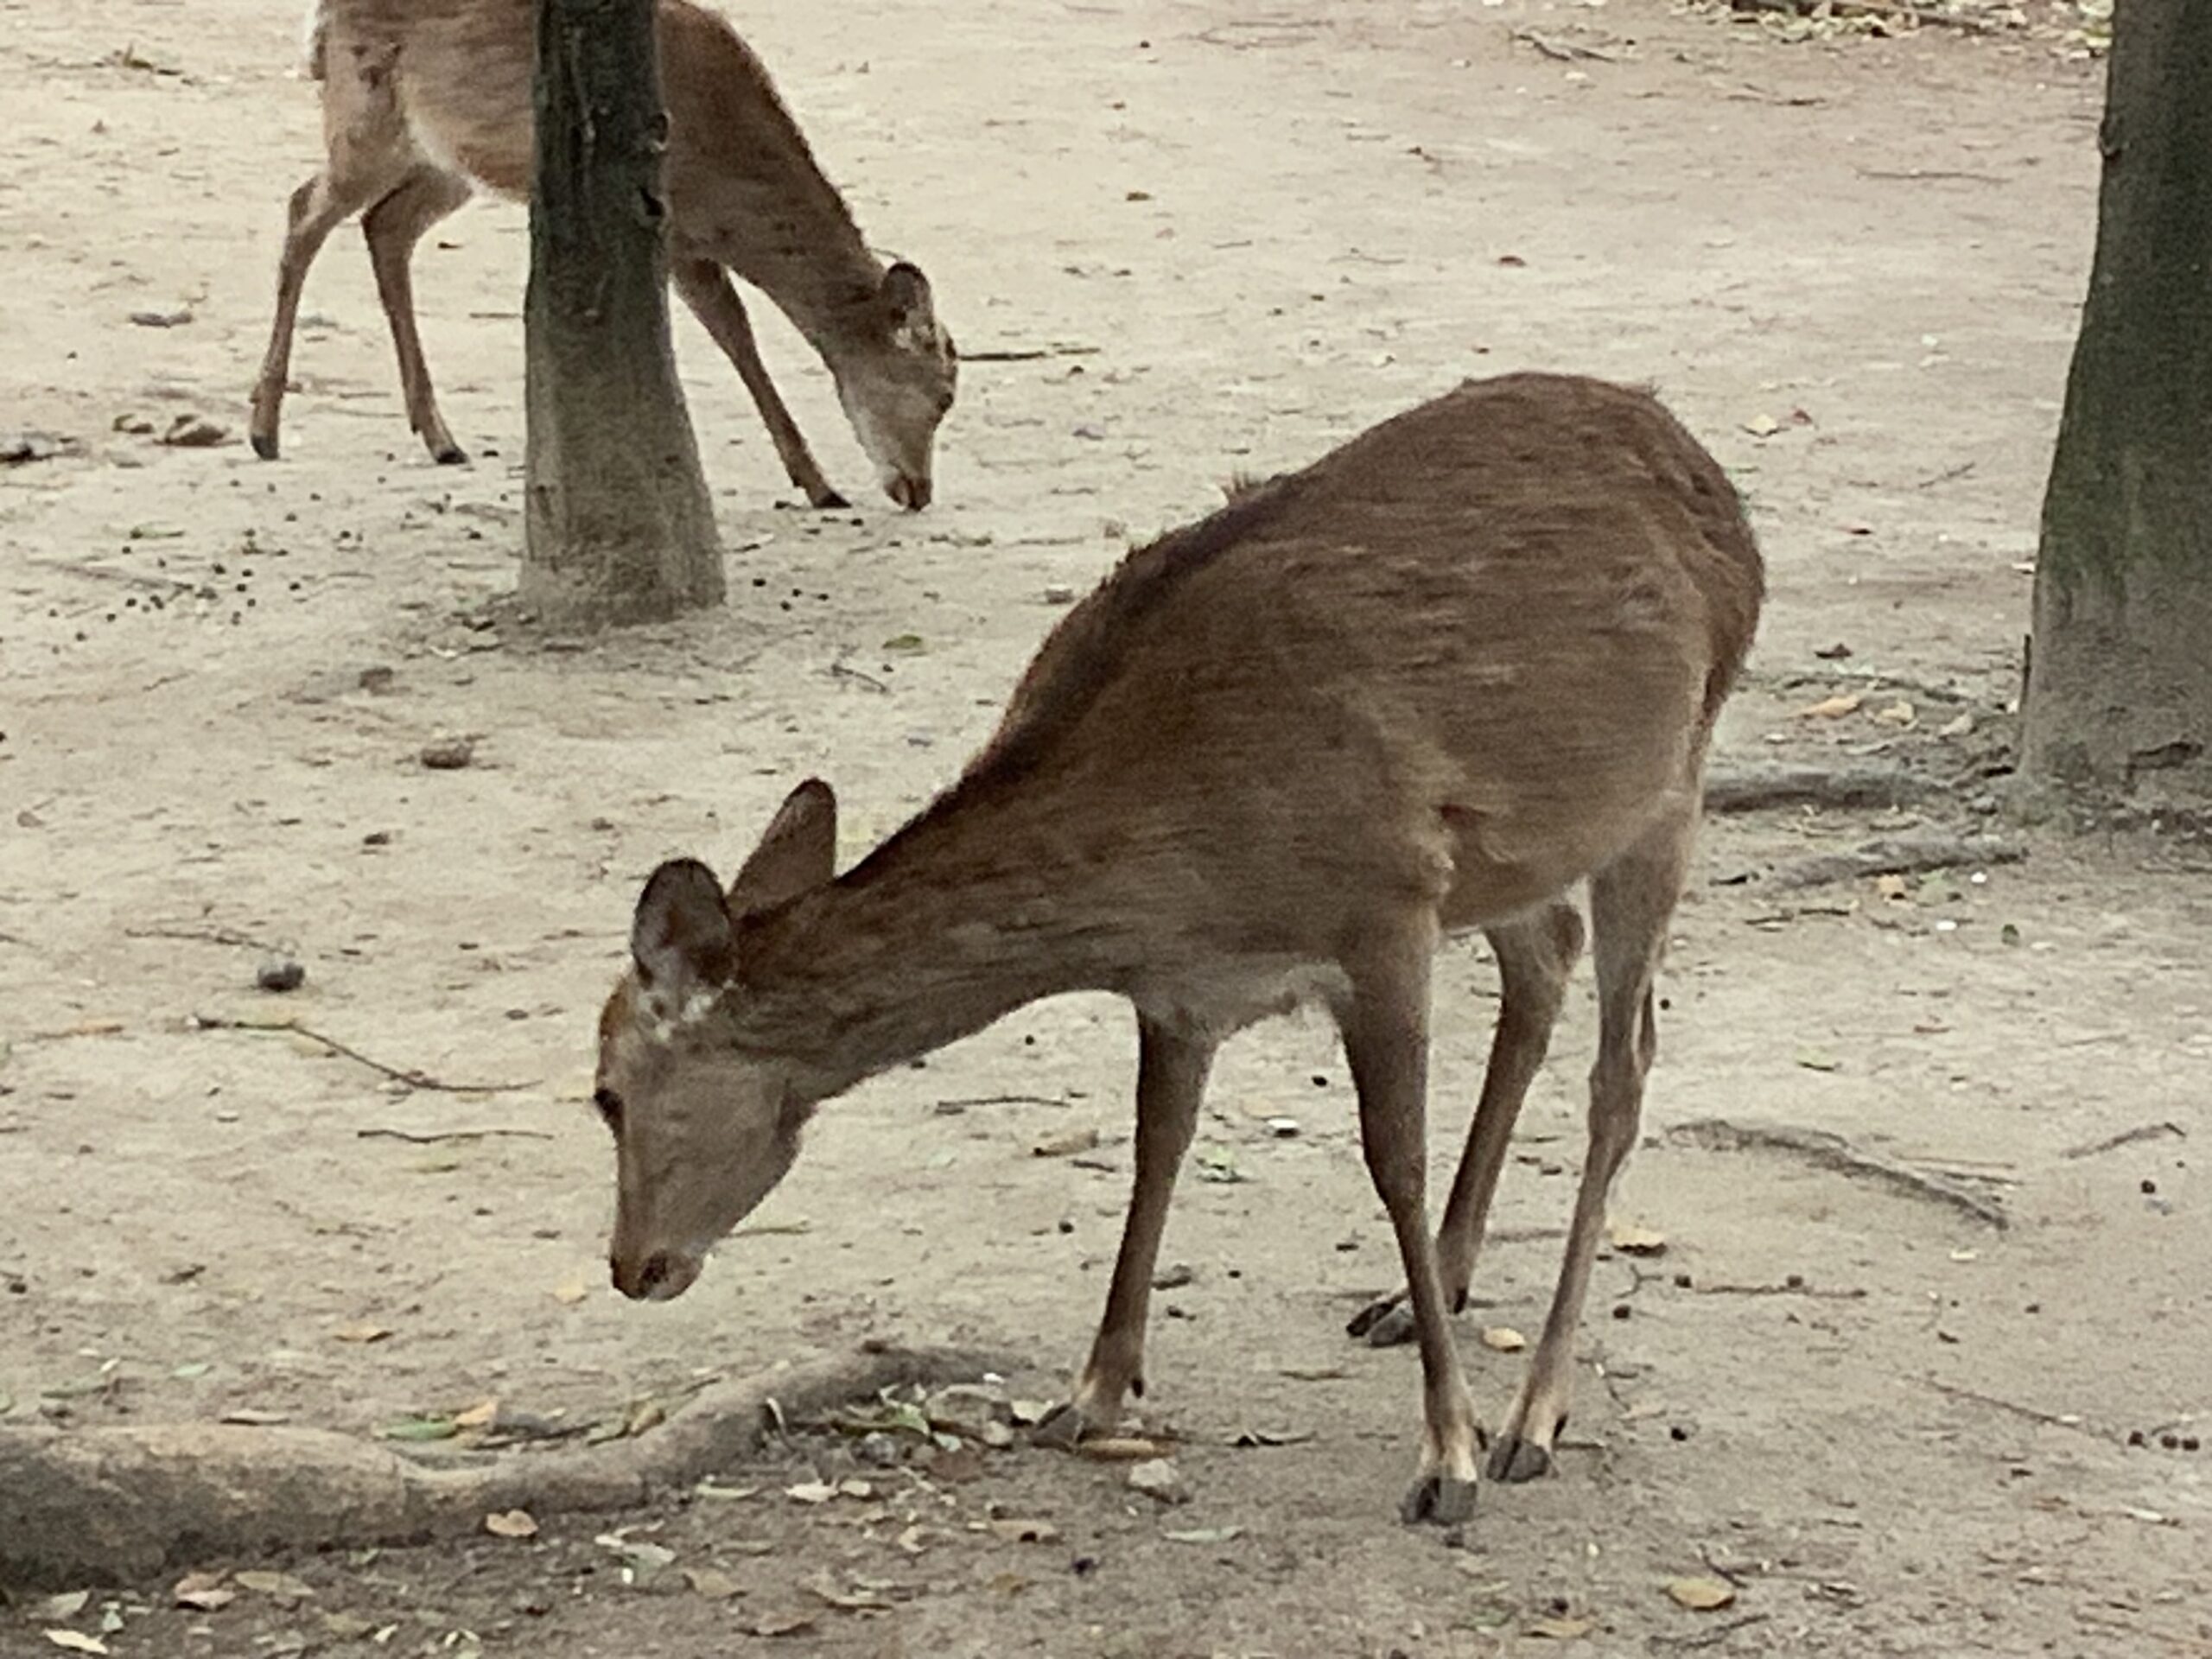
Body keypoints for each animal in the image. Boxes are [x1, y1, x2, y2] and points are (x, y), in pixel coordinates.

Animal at [252, 0, 957, 510]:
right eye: (944, 393)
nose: (919, 492)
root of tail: (322, 14)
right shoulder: (670, 224)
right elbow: (738, 337)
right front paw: (819, 483)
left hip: (449, 161)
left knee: (385, 226)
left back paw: (440, 438)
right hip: (365, 119)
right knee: (302, 211)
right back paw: (265, 429)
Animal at [590, 371, 1764, 1524]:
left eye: (603, 1092)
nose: (630, 1267)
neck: (1172, 863)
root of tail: (1713, 481)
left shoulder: (1384, 909)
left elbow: (1393, 1160)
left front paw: (1449, 1457)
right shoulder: (1182, 986)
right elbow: (1157, 1144)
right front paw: (1091, 1393)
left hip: (1668, 786)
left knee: (1624, 1070)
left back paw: (1533, 1415)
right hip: (1518, 847)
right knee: (1546, 953)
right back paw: (1427, 1287)